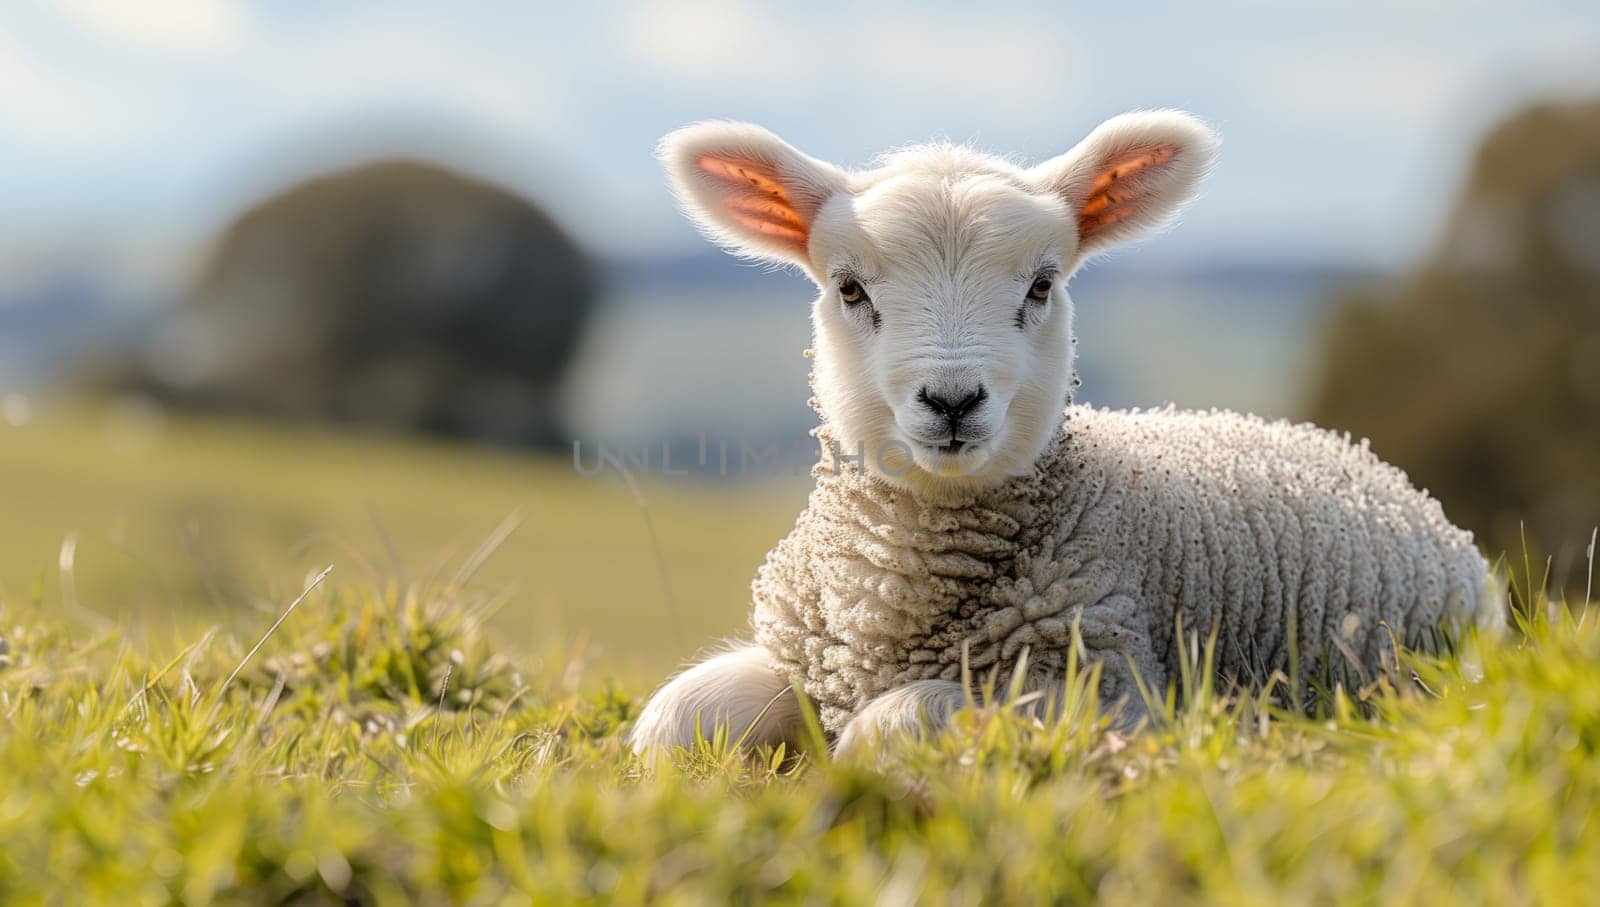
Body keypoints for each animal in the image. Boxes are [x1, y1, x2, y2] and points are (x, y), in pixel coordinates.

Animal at [630, 110, 1504, 755]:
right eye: (849, 288)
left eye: (1042, 285)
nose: (953, 400)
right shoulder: (806, 661)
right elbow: (675, 718)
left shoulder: (1110, 692)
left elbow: (896, 719)